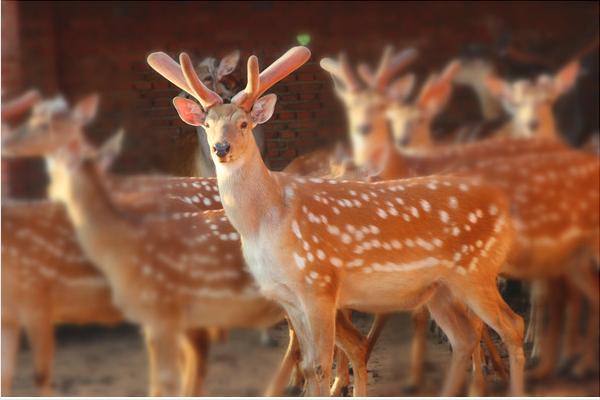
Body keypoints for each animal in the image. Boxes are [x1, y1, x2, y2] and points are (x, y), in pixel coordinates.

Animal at [151, 44, 528, 396]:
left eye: (244, 123)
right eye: (208, 124)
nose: (221, 148)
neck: (267, 223)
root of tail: (504, 210)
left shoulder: (319, 285)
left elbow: (320, 364)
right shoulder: (287, 297)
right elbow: (308, 363)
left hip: (475, 271)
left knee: (512, 324)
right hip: (439, 289)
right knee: (464, 336)